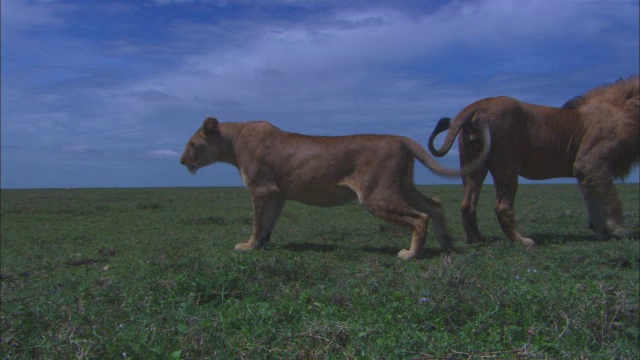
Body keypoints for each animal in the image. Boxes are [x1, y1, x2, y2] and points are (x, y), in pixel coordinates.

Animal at [180, 117, 490, 258]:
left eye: (192, 144)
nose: (182, 161)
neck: (232, 142)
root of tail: (400, 138)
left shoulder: (261, 189)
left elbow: (257, 221)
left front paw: (248, 245)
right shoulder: (277, 194)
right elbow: (268, 222)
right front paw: (263, 243)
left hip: (376, 194)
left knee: (420, 217)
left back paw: (411, 254)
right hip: (403, 186)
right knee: (435, 206)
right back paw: (446, 244)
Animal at [428, 75, 636, 245]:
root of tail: (477, 105)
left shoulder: (585, 173)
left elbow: (592, 201)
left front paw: (601, 231)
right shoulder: (591, 164)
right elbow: (611, 200)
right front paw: (618, 231)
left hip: (473, 165)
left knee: (467, 204)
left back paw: (476, 239)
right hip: (507, 165)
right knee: (502, 206)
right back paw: (521, 241)